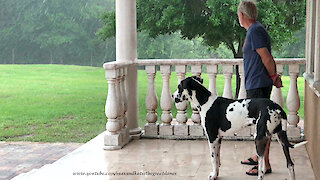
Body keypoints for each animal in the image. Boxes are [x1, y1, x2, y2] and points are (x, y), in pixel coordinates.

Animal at [174, 76, 306, 180]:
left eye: (179, 87)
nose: (172, 95)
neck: (205, 101)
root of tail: (277, 108)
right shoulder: (218, 138)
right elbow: (217, 159)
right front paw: (216, 174)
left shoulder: (211, 138)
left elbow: (213, 159)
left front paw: (213, 175)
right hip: (281, 137)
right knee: (290, 165)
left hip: (259, 138)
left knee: (262, 169)